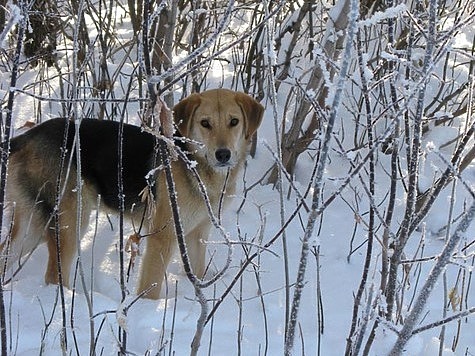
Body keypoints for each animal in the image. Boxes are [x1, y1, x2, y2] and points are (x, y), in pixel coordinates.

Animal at [0, 88, 264, 298]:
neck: (194, 164)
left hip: (33, 226)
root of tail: (26, 137)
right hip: (69, 223)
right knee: (54, 277)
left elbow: (197, 271)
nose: (223, 154)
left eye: (234, 122)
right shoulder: (163, 237)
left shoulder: (198, 234)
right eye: (205, 123)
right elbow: (150, 287)